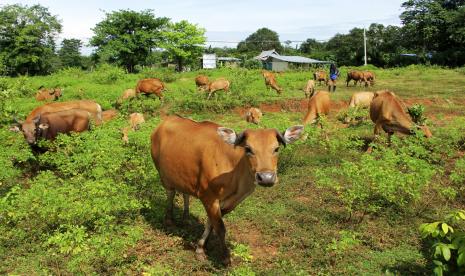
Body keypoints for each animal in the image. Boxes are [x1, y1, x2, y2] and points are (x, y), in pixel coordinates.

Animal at [150, 115, 304, 266]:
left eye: (276, 149)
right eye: (248, 149)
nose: (266, 178)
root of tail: (166, 120)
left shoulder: (231, 202)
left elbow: (211, 223)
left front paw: (201, 246)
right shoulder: (208, 197)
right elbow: (220, 227)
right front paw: (224, 257)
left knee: (185, 193)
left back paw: (186, 217)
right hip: (162, 173)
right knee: (170, 193)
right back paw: (169, 221)